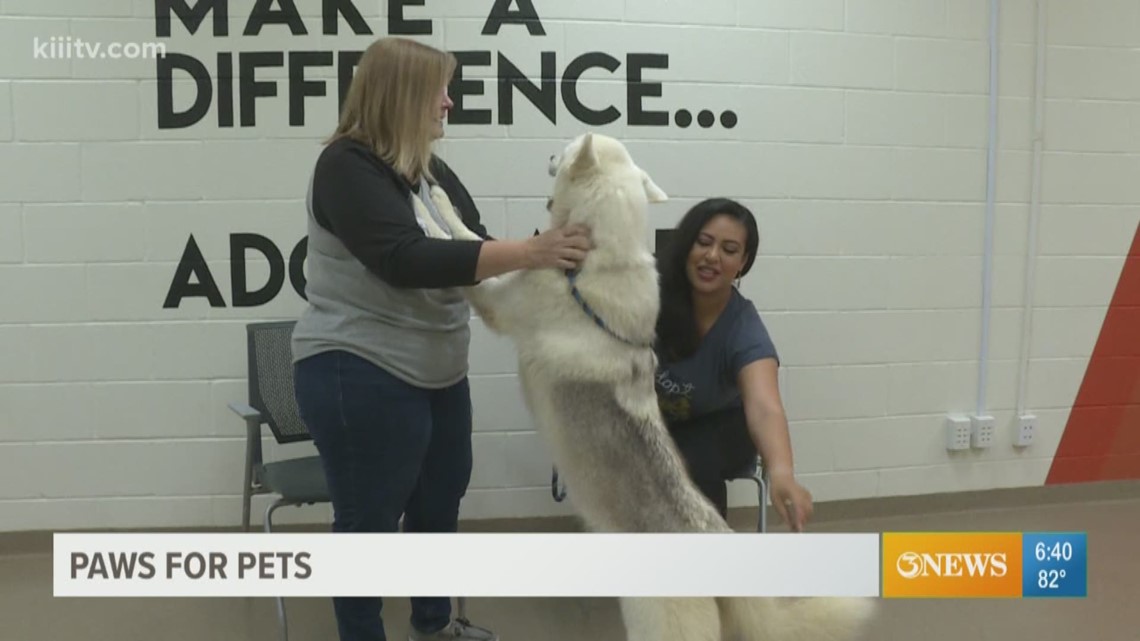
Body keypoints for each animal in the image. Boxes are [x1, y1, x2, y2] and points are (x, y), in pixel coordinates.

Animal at [414, 132, 875, 634]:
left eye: (566, 145)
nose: (550, 154)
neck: (596, 255)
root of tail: (713, 536)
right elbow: (473, 237)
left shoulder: (493, 298)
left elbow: (458, 237)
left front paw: (426, 202)